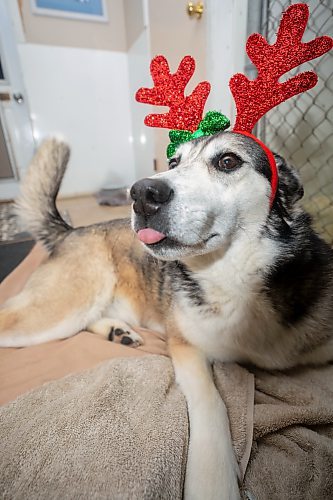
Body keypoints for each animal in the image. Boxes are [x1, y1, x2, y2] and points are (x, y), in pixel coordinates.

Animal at [0, 134, 332, 500]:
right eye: (173, 163)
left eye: (228, 161)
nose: (142, 194)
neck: (234, 276)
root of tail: (72, 231)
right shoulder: (186, 346)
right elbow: (211, 401)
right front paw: (213, 481)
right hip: (61, 307)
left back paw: (118, 331)